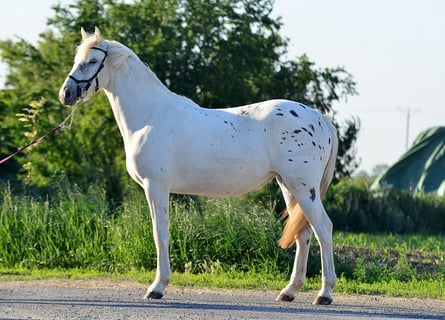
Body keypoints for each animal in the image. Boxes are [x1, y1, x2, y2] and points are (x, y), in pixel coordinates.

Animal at [58, 28, 336, 304]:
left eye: (92, 61)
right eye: (77, 59)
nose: (65, 94)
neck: (150, 115)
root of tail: (319, 118)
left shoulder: (156, 186)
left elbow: (160, 234)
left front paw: (157, 287)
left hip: (303, 188)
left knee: (323, 229)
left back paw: (324, 293)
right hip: (288, 186)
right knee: (303, 234)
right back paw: (289, 291)